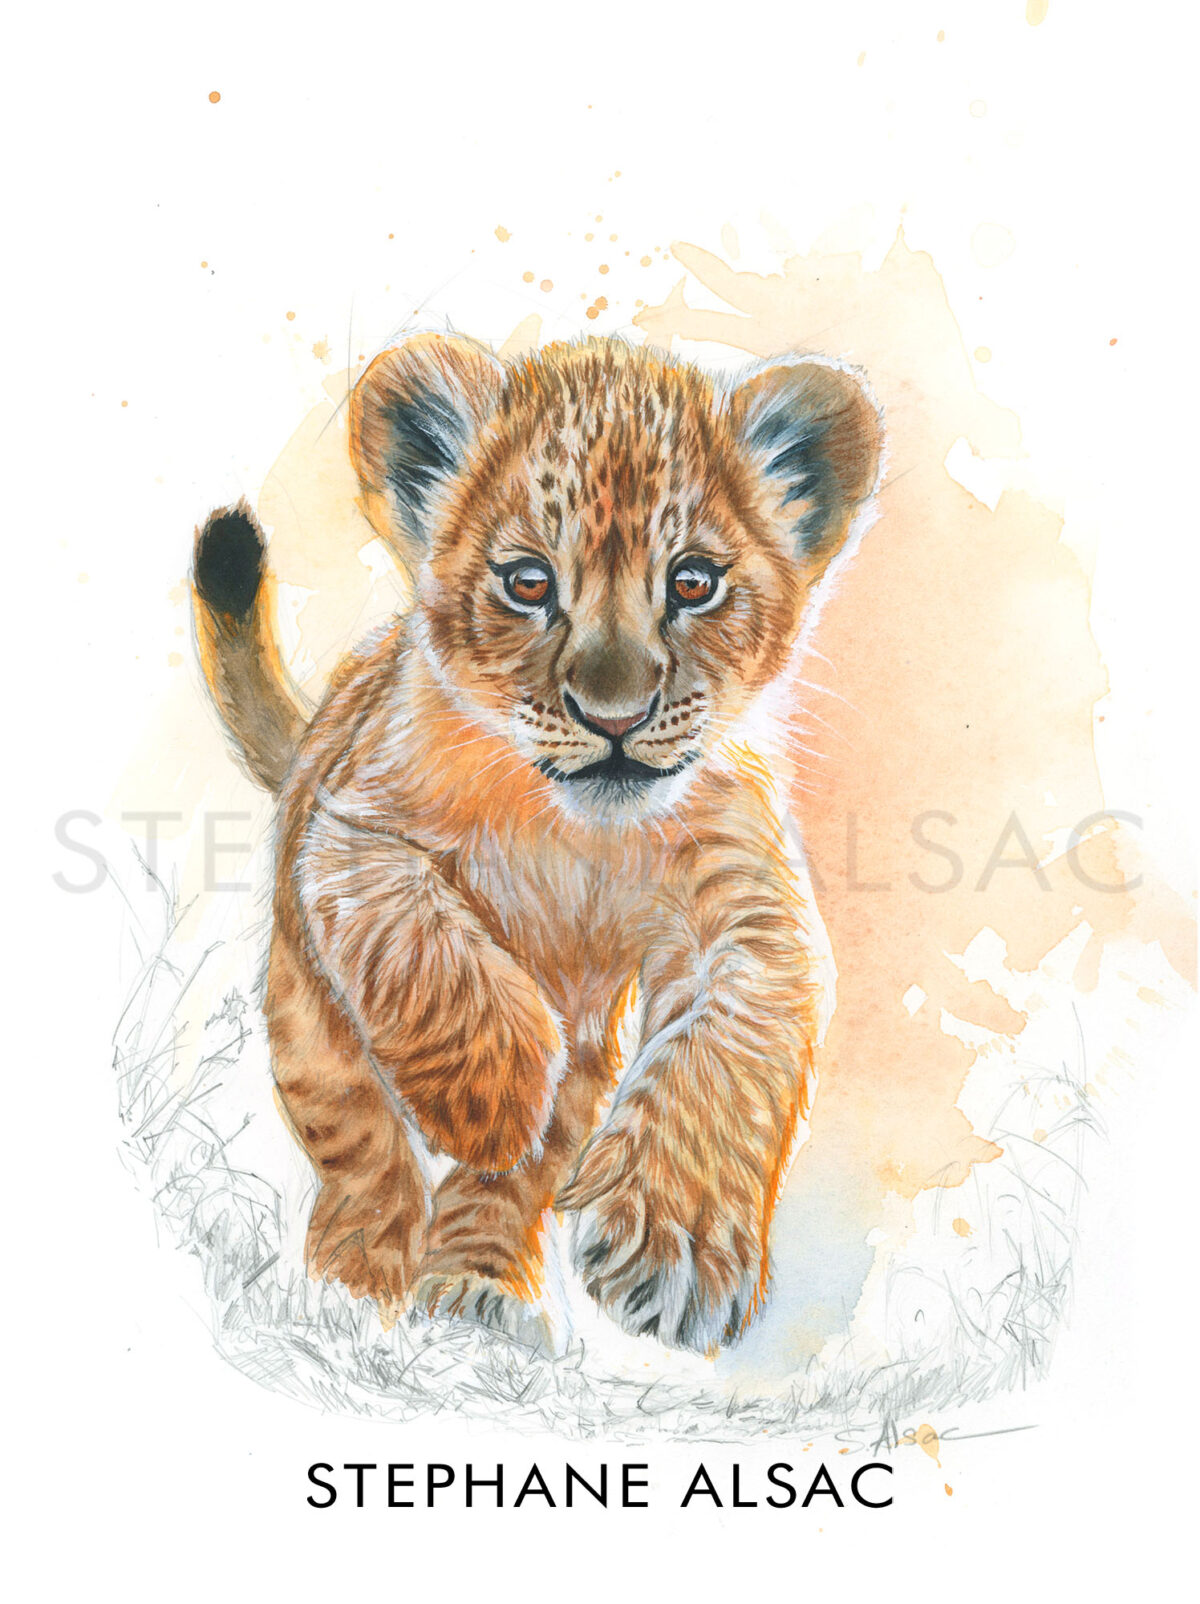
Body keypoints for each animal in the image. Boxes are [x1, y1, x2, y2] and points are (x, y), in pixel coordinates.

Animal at [191, 334, 882, 1353]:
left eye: (693, 582)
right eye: (528, 584)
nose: (614, 718)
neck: (576, 836)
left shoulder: (746, 899)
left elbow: (739, 1036)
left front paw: (674, 1247)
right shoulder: (353, 832)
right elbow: (423, 945)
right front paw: (493, 1097)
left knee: (516, 1178)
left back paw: (476, 1293)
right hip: (307, 1010)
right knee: (359, 1144)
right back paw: (355, 1286)